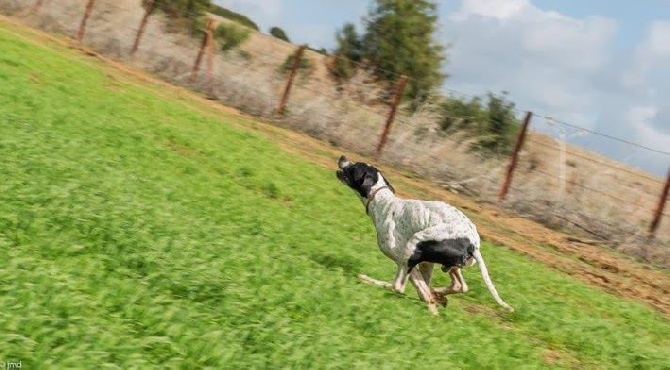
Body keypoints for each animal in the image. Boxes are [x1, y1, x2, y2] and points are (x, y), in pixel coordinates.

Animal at [336, 155, 516, 314]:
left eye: (355, 166)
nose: (342, 157)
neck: (383, 202)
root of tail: (473, 244)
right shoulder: (424, 263)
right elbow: (424, 288)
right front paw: (433, 302)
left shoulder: (402, 258)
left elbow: (415, 287)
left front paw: (431, 303)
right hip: (445, 263)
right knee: (460, 286)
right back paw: (437, 294)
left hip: (415, 244)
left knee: (397, 286)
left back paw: (368, 280)